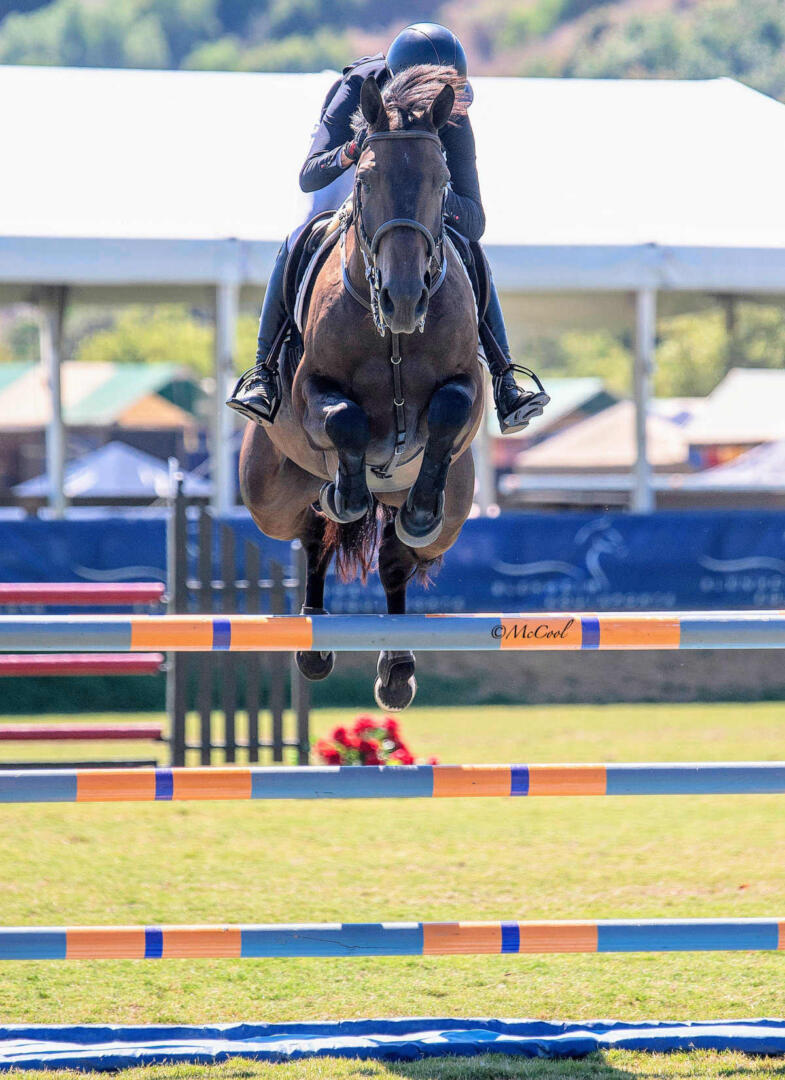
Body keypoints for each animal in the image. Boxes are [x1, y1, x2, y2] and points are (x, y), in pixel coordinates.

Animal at [239, 65, 485, 708]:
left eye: (442, 182)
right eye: (367, 180)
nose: (404, 300)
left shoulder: (468, 391)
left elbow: (450, 410)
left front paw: (420, 508)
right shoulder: (310, 395)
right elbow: (344, 419)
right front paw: (346, 493)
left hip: (457, 510)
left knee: (398, 557)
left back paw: (396, 665)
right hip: (268, 494)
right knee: (310, 534)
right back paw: (314, 640)